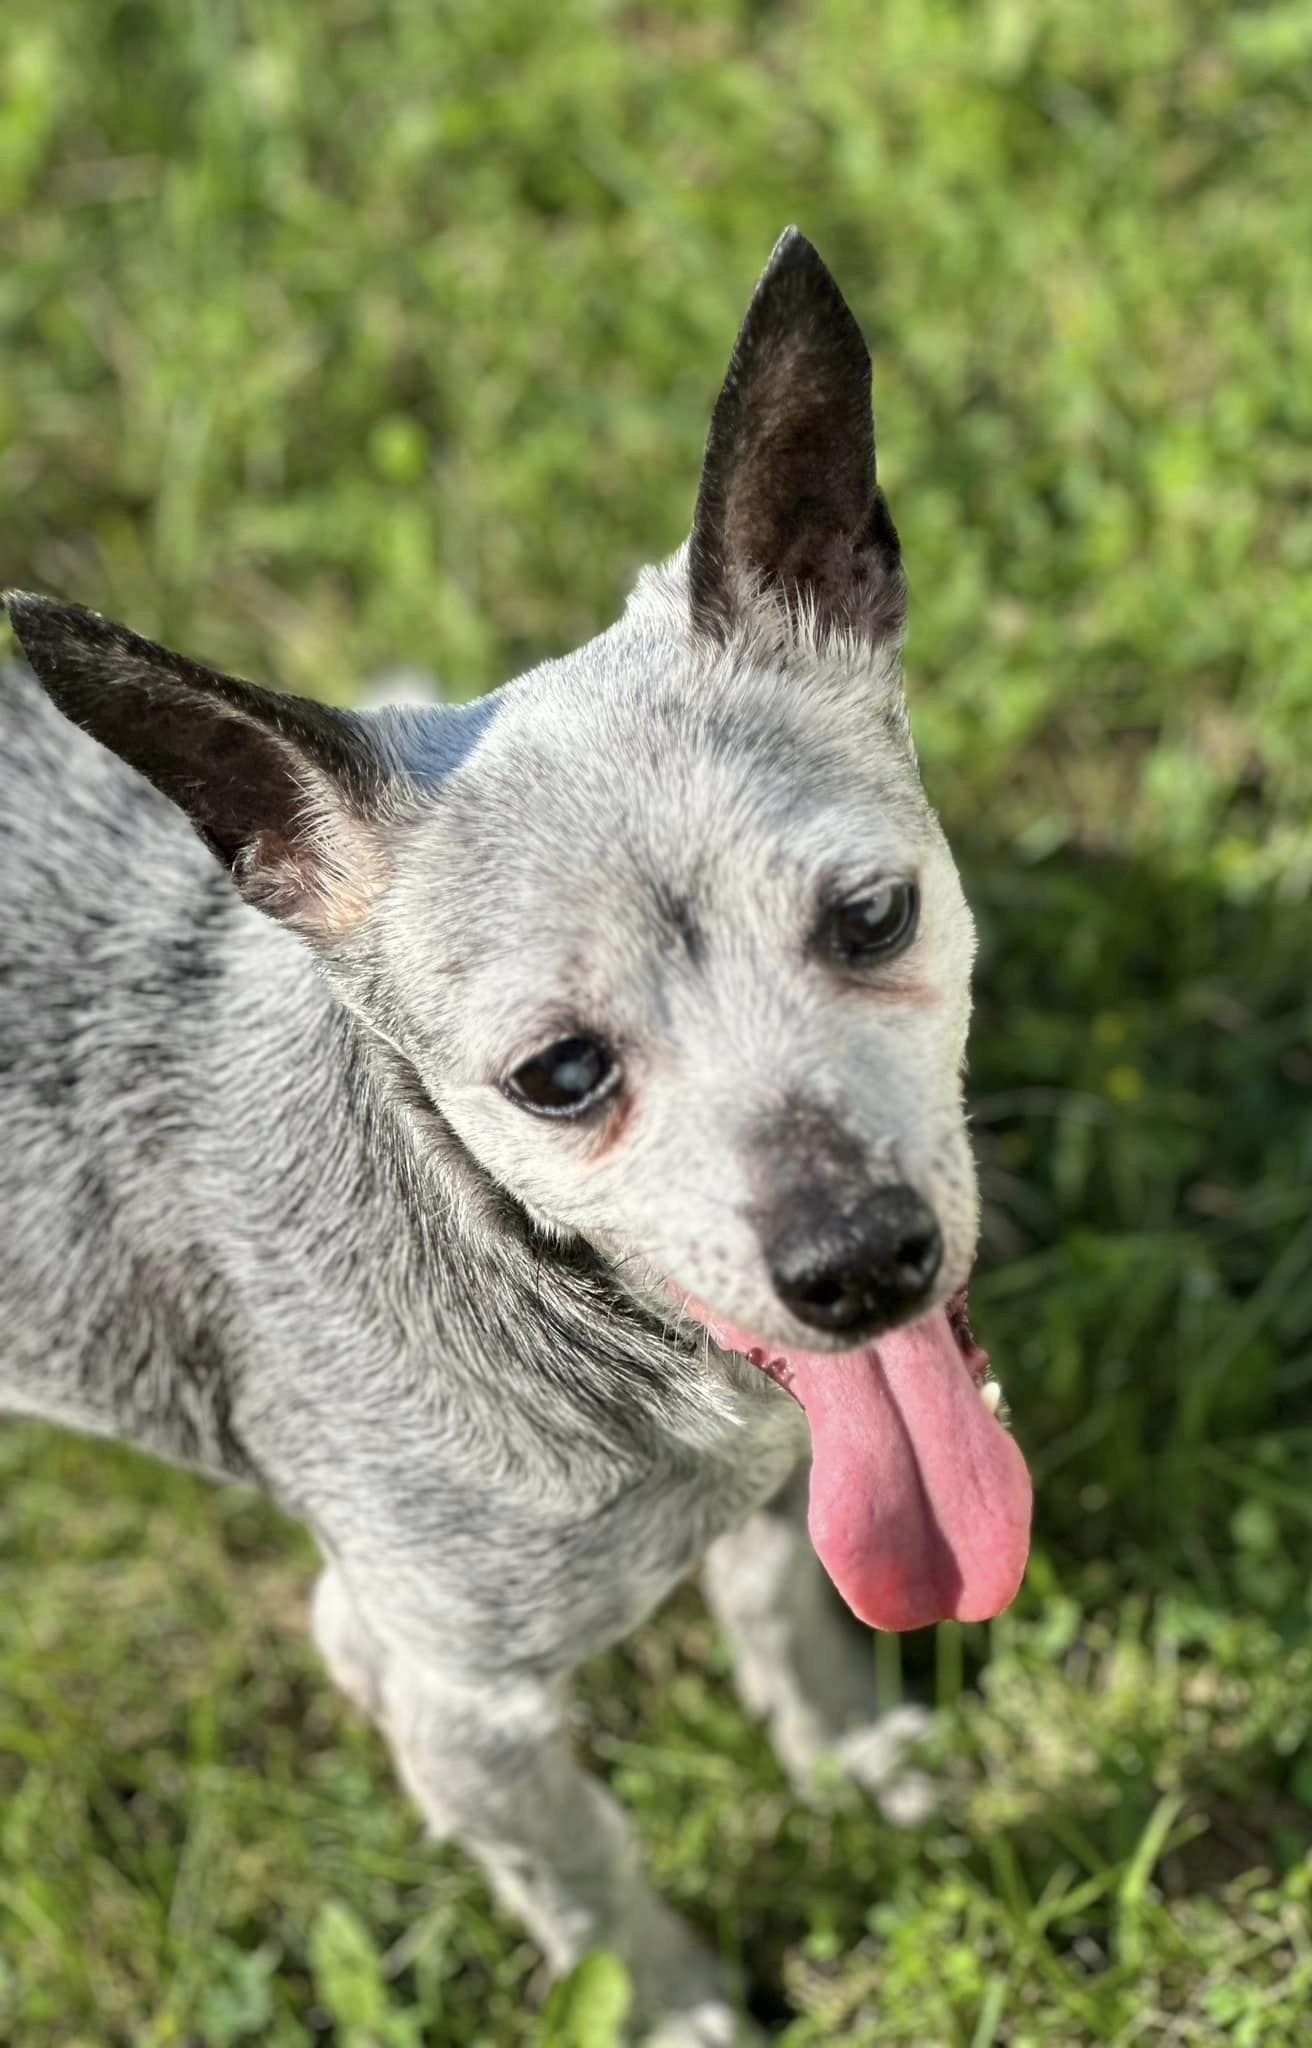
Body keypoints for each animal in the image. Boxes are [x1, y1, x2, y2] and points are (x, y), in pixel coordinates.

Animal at [2, 232, 1031, 2039]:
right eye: (557, 1075)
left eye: (872, 916)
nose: (857, 1263)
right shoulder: (443, 1699)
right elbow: (594, 1880)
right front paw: (680, 2008)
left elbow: (784, 1604)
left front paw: (844, 1761)